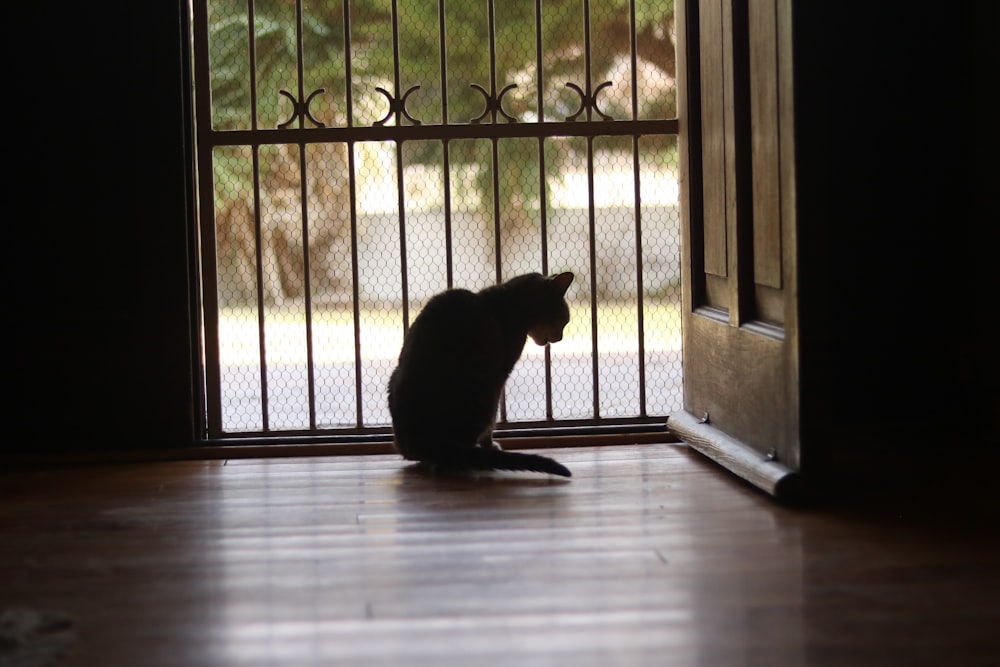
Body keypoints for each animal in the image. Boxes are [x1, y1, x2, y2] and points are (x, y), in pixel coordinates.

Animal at [390, 268, 580, 478]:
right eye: (564, 320)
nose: (560, 338)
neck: (512, 302)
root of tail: (422, 443)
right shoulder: (500, 376)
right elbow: (491, 424)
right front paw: (490, 446)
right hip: (483, 391)